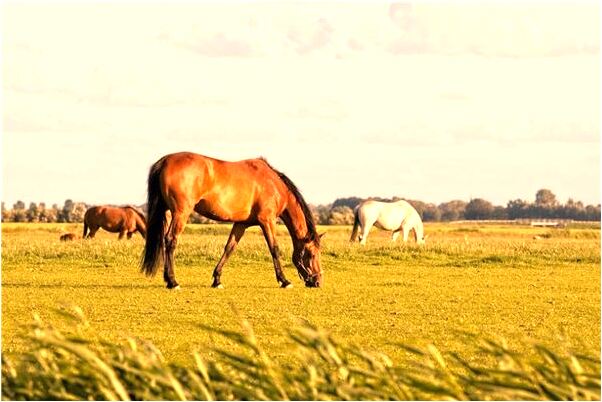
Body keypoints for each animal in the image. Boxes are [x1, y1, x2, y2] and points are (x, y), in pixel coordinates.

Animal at [140, 152, 322, 288]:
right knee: (170, 240)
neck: (274, 184)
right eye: (311, 254)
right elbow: (274, 249)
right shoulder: (267, 221)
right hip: (180, 213)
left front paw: (217, 280)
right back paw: (172, 281)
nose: (318, 281)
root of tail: (165, 161)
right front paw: (284, 281)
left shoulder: (241, 224)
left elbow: (229, 248)